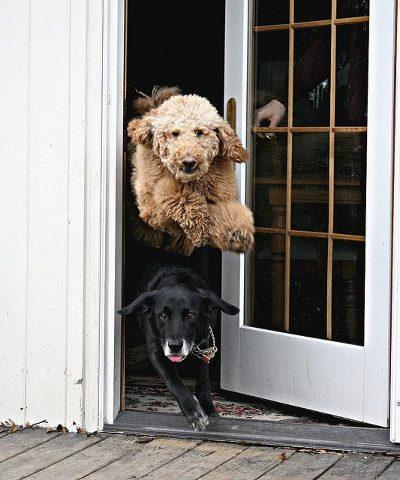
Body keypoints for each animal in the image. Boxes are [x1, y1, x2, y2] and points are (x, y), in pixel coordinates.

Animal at [117, 262, 239, 432]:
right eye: (162, 315)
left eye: (190, 315)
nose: (175, 346)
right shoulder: (157, 351)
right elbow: (174, 381)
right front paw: (193, 412)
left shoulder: (205, 345)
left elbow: (203, 378)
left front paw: (208, 408)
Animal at [126, 87, 255, 256]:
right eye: (175, 133)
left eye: (199, 132)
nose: (188, 162)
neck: (192, 181)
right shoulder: (153, 209)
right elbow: (172, 192)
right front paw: (198, 223)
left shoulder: (221, 195)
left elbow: (221, 212)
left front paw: (236, 231)